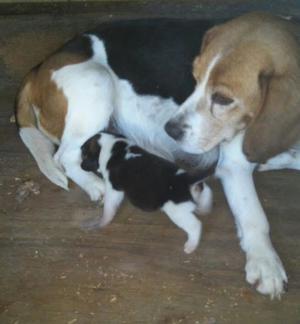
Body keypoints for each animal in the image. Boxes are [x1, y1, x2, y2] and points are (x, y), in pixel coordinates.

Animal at [81, 132, 212, 253]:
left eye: (84, 155)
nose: (81, 166)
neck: (113, 146)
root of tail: (186, 179)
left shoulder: (114, 189)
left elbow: (109, 208)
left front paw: (102, 222)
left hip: (177, 212)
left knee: (195, 225)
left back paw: (191, 245)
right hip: (198, 192)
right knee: (207, 192)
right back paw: (204, 209)